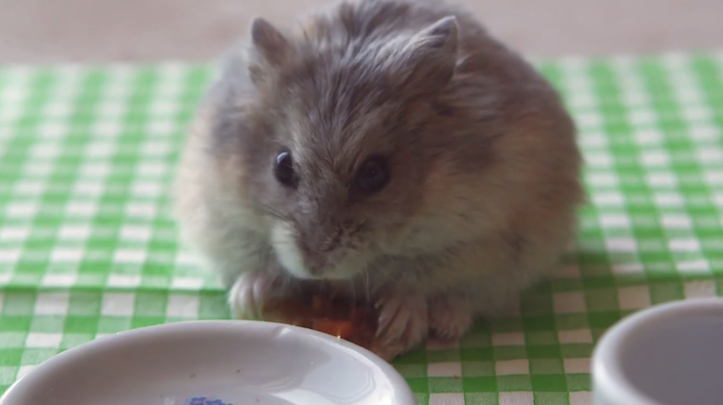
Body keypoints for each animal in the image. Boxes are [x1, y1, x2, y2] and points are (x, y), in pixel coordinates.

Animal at [174, 0, 584, 357]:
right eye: (282, 165)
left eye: (375, 173)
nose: (315, 267)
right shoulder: (219, 215)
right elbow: (260, 263)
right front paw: (249, 297)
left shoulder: (482, 239)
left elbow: (418, 279)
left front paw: (400, 320)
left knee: (466, 301)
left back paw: (446, 323)